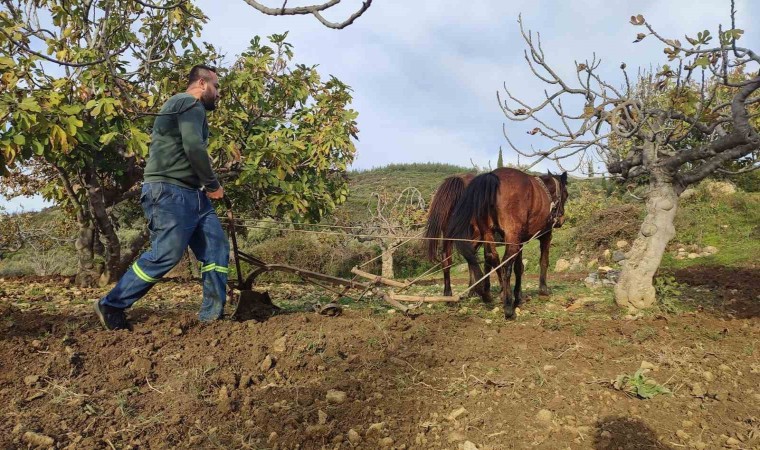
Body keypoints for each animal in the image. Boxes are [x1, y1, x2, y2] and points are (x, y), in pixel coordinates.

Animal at [446, 169, 568, 320]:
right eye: (566, 194)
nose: (561, 220)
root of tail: (492, 177)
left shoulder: (520, 240)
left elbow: (519, 267)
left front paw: (518, 296)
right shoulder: (545, 235)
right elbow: (543, 261)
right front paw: (543, 290)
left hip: (488, 234)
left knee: (489, 257)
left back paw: (485, 294)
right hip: (509, 237)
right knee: (504, 264)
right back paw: (508, 305)